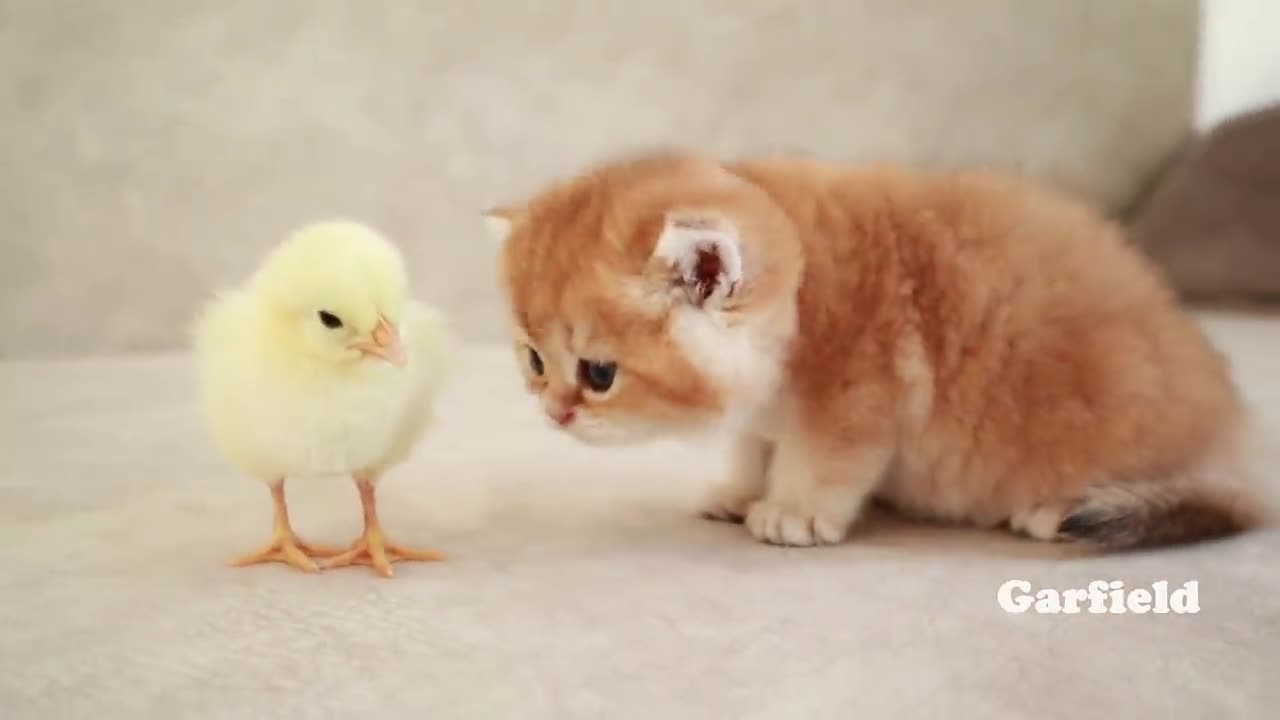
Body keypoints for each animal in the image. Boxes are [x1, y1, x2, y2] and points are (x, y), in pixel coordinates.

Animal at [483, 148, 1264, 545]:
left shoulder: (856, 392)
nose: (555, 412)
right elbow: (752, 447)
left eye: (599, 373)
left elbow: (820, 460)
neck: (801, 299)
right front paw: (739, 492)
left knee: (1226, 507)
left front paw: (791, 512)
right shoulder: (763, 414)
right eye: (535, 361)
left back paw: (1069, 509)